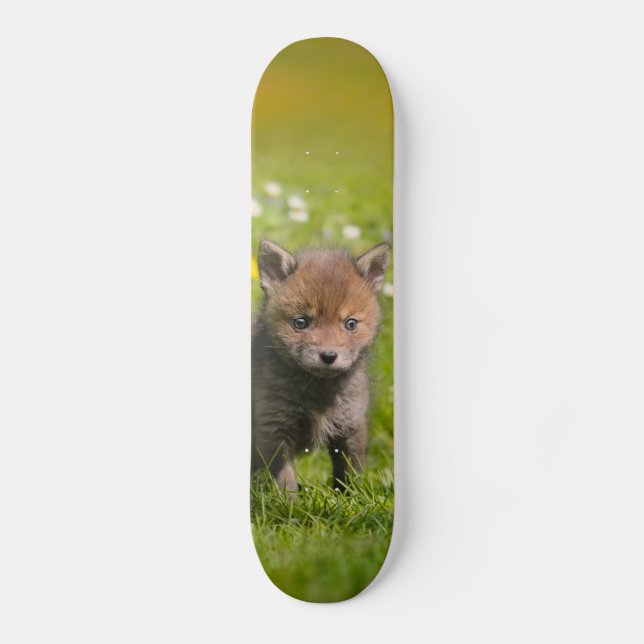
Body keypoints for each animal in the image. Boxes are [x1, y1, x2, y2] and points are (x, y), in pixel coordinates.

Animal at [251, 239, 390, 493]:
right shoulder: (272, 426)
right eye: (301, 322)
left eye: (351, 324)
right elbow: (284, 479)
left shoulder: (350, 423)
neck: (318, 392)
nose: (328, 356)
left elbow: (349, 472)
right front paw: (289, 503)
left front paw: (350, 499)